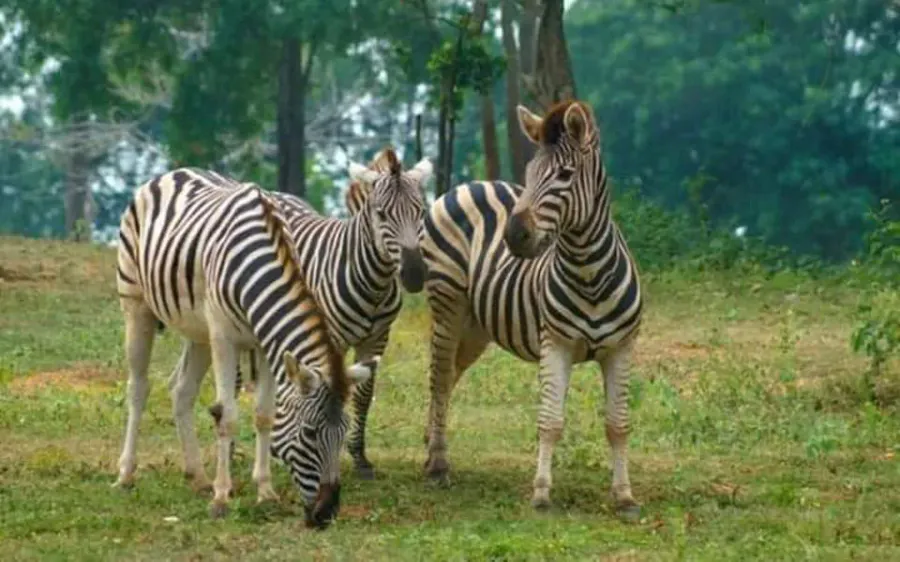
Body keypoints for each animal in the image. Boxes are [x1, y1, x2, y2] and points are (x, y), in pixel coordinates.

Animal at [114, 168, 376, 527]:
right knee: (139, 387)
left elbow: (265, 415)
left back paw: (198, 477)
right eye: (309, 433)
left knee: (181, 390)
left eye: (344, 432)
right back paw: (126, 474)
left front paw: (265, 492)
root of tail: (174, 172)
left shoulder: (264, 344)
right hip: (136, 303)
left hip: (198, 329)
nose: (326, 515)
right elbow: (227, 416)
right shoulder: (224, 338)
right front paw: (222, 498)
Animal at [419, 100, 644, 519]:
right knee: (439, 378)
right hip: (447, 302)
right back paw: (438, 463)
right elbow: (550, 422)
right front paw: (541, 493)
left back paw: (430, 444)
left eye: (565, 174)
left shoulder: (622, 348)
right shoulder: (556, 344)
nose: (513, 237)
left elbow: (617, 424)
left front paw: (624, 496)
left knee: (450, 374)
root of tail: (470, 183)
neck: (589, 274)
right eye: (528, 174)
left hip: (477, 326)